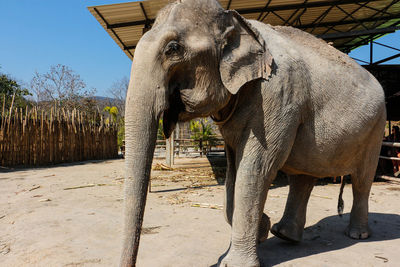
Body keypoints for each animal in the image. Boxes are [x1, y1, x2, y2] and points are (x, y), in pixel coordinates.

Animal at [120, 0, 386, 266]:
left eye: (173, 49)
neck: (239, 22)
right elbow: (232, 173)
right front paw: (262, 228)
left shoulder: (278, 96)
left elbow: (256, 169)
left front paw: (237, 258)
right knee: (303, 176)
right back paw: (284, 234)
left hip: (377, 127)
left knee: (362, 179)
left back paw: (357, 235)